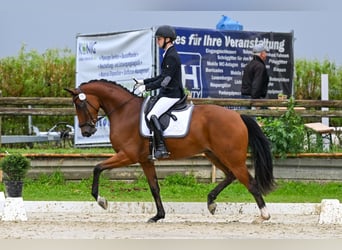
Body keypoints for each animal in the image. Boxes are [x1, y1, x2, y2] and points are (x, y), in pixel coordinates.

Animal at [66, 78, 276, 223]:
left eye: (80, 104)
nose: (86, 131)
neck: (124, 111)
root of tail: (238, 116)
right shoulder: (145, 160)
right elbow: (154, 188)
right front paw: (158, 216)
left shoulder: (128, 155)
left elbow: (97, 168)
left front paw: (102, 201)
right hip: (214, 154)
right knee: (231, 176)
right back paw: (211, 202)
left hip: (232, 157)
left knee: (250, 182)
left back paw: (263, 216)